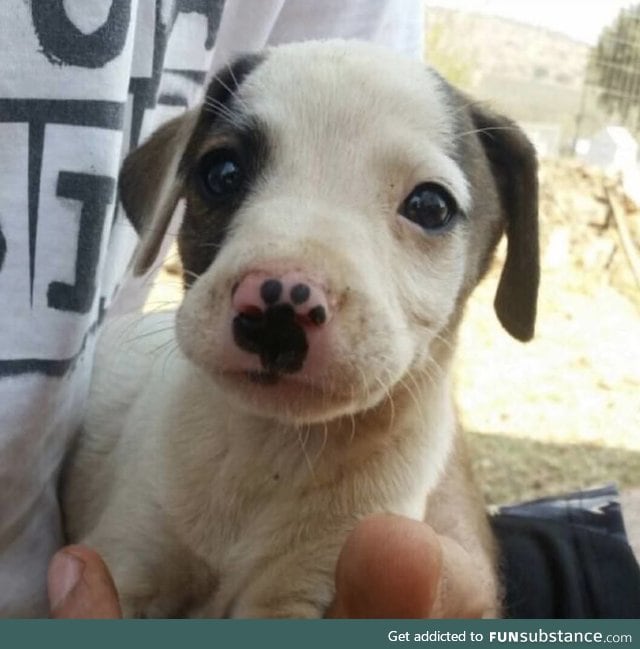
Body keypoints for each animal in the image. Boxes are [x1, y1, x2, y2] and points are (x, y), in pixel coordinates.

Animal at [61, 40, 540, 616]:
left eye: (430, 205)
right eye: (222, 173)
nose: (277, 308)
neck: (269, 451)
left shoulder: (305, 586)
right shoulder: (134, 547)